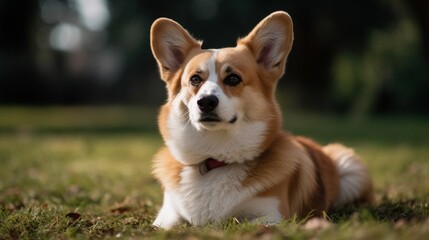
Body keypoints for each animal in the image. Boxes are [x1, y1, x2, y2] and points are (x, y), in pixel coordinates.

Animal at [150, 11, 372, 229]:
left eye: (233, 78)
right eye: (195, 80)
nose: (205, 102)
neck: (215, 157)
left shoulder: (273, 215)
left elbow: (242, 222)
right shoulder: (167, 214)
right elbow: (164, 225)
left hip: (351, 167)